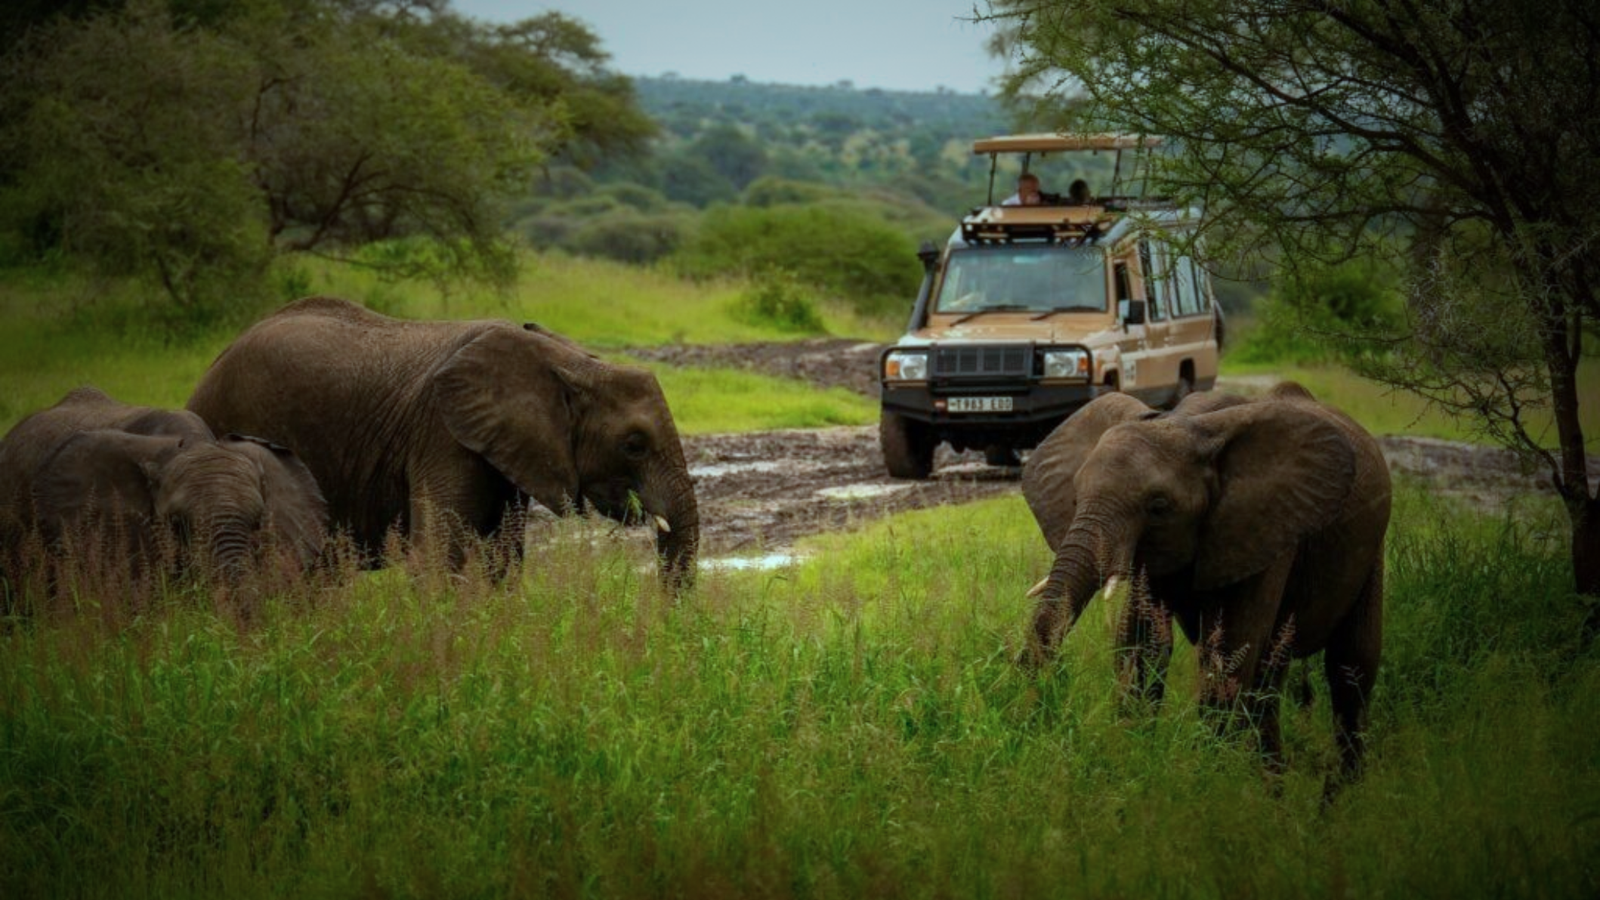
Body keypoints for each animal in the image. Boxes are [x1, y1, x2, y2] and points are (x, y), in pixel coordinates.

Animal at [186, 297, 700, 585]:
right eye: (633, 444)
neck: (569, 361)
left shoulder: (507, 447)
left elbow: (503, 560)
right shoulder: (441, 433)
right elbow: (435, 557)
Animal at [1019, 382, 1390, 785]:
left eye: (1158, 506)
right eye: (1075, 497)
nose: (1025, 700)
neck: (1187, 422)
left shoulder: (1262, 527)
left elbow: (1226, 656)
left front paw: (1203, 778)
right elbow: (1142, 649)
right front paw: (1135, 757)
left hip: (1372, 548)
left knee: (1350, 670)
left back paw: (1341, 795)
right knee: (1270, 679)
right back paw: (1273, 788)